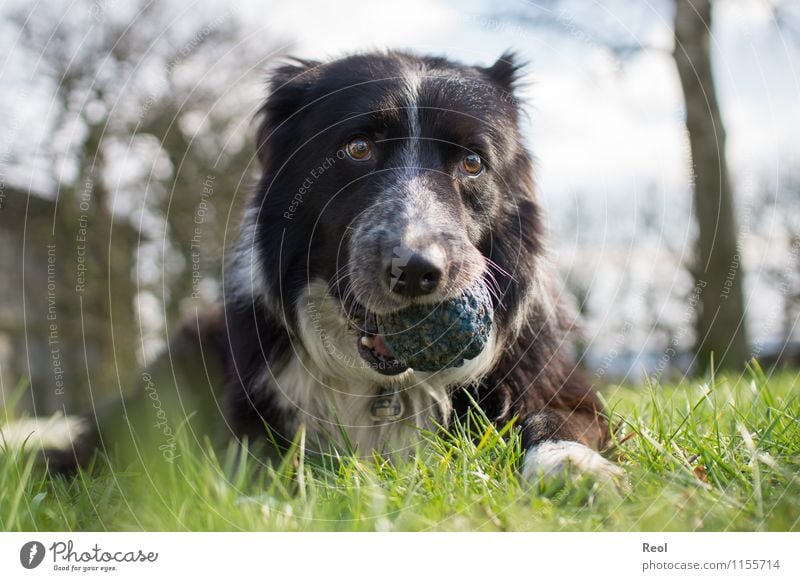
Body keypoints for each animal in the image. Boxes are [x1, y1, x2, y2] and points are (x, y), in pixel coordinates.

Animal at [1, 49, 620, 482]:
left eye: (472, 163)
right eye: (357, 149)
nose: (418, 272)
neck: (385, 384)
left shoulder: (547, 378)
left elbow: (560, 420)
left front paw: (576, 469)